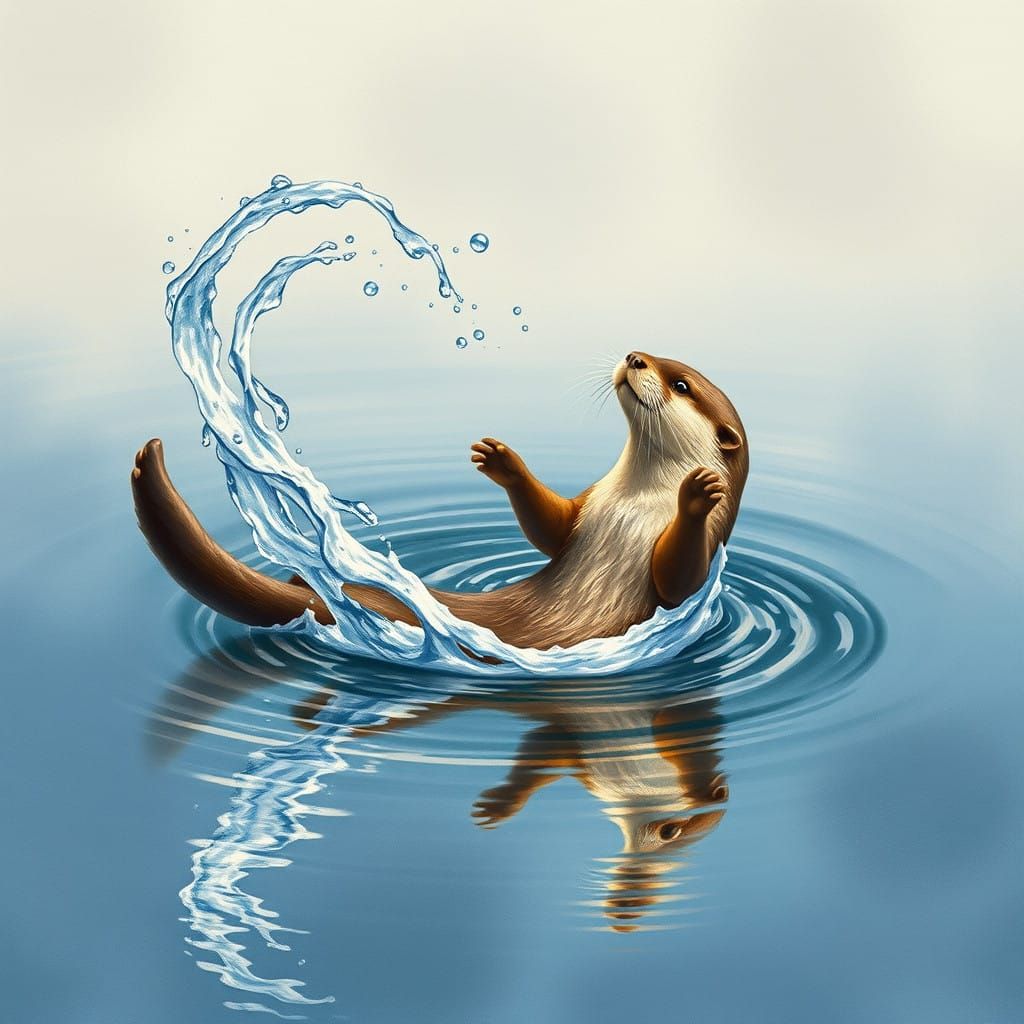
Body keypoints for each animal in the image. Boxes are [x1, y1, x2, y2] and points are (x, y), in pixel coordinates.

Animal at [131, 352, 747, 650]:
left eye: (682, 384)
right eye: (652, 359)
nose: (635, 356)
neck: (634, 500)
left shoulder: (681, 562)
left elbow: (679, 581)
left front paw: (697, 495)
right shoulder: (590, 505)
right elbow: (553, 529)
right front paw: (502, 462)